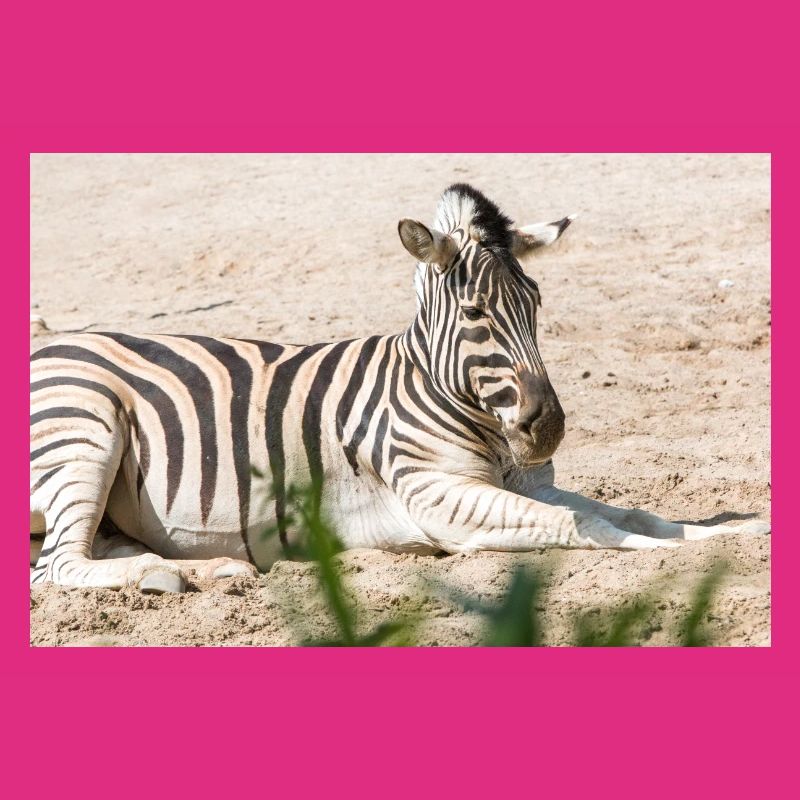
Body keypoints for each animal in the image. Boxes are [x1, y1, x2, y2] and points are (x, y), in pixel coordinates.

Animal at [30, 183, 770, 593]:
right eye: (476, 314)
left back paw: (197, 571)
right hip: (85, 427)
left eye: (536, 303)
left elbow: (636, 513)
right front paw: (670, 555)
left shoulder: (522, 483)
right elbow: (586, 526)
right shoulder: (437, 496)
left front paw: (732, 530)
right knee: (58, 567)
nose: (548, 429)